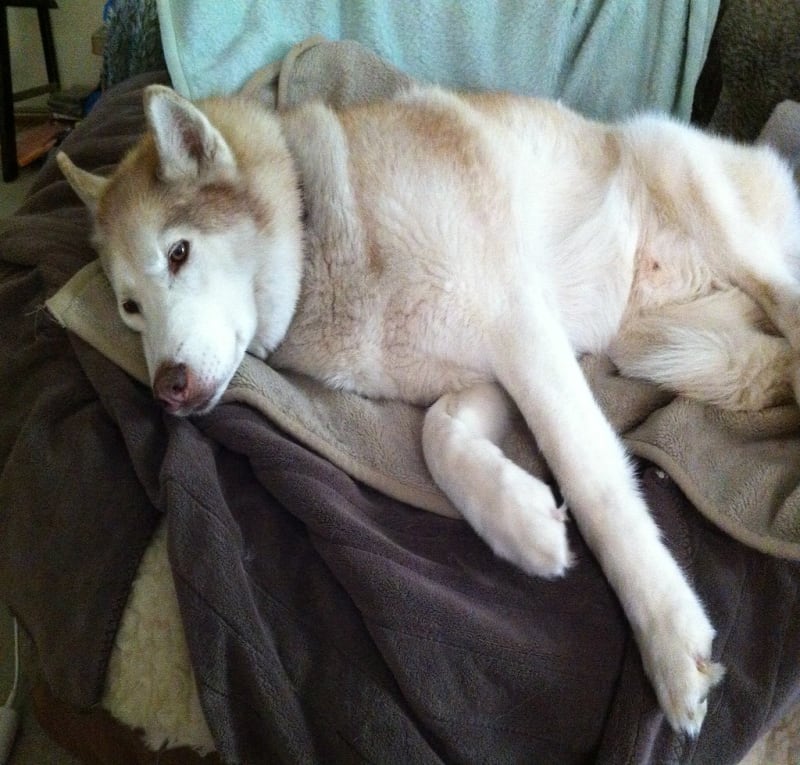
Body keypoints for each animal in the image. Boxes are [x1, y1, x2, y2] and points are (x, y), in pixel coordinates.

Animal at [58, 82, 800, 735]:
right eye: (129, 307)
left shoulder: (523, 330)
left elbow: (593, 481)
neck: (316, 229)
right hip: (651, 341)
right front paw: (521, 524)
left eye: (179, 253)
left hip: (676, 169)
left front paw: (667, 634)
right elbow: (437, 438)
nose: (167, 387)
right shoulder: (493, 370)